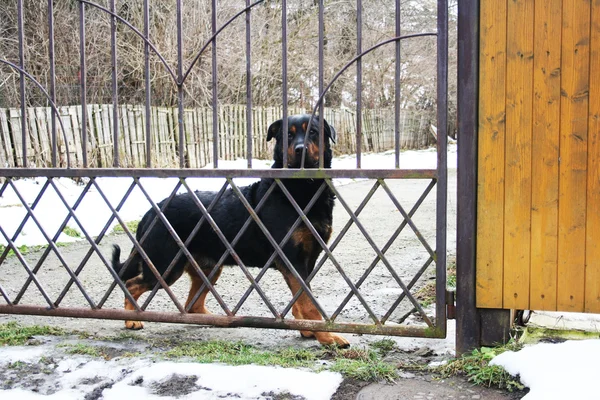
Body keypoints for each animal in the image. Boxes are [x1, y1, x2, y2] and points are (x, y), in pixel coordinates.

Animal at [112, 115, 350, 346]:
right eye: (288, 136)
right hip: (165, 268)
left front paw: (307, 329)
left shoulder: (307, 260)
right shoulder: (292, 260)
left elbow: (300, 300)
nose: (300, 149)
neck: (301, 188)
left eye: (313, 132)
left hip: (208, 269)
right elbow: (309, 303)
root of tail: (150, 212)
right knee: (131, 285)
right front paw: (326, 337)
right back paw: (131, 320)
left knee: (191, 305)